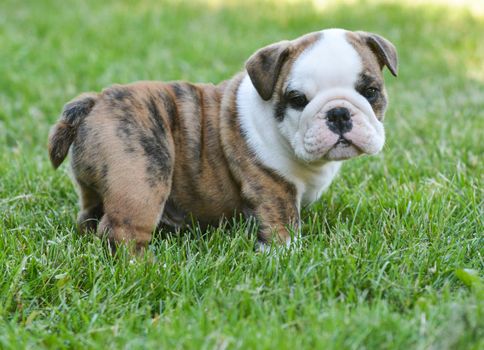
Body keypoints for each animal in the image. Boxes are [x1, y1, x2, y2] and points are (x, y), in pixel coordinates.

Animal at [48, 27, 398, 252]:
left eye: (370, 91)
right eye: (297, 99)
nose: (338, 114)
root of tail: (96, 100)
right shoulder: (274, 188)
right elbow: (283, 225)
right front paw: (286, 255)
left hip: (97, 186)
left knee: (90, 215)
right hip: (141, 177)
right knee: (123, 230)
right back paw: (146, 267)